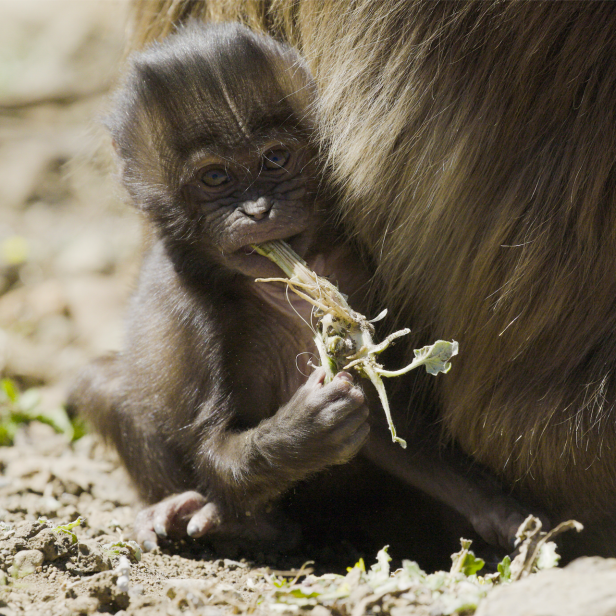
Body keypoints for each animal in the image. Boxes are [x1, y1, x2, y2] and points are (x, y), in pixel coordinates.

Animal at [127, 1, 616, 560]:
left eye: (275, 159)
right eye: (214, 178)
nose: (257, 210)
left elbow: (389, 422)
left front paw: (500, 511)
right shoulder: (195, 306)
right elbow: (211, 447)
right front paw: (303, 434)